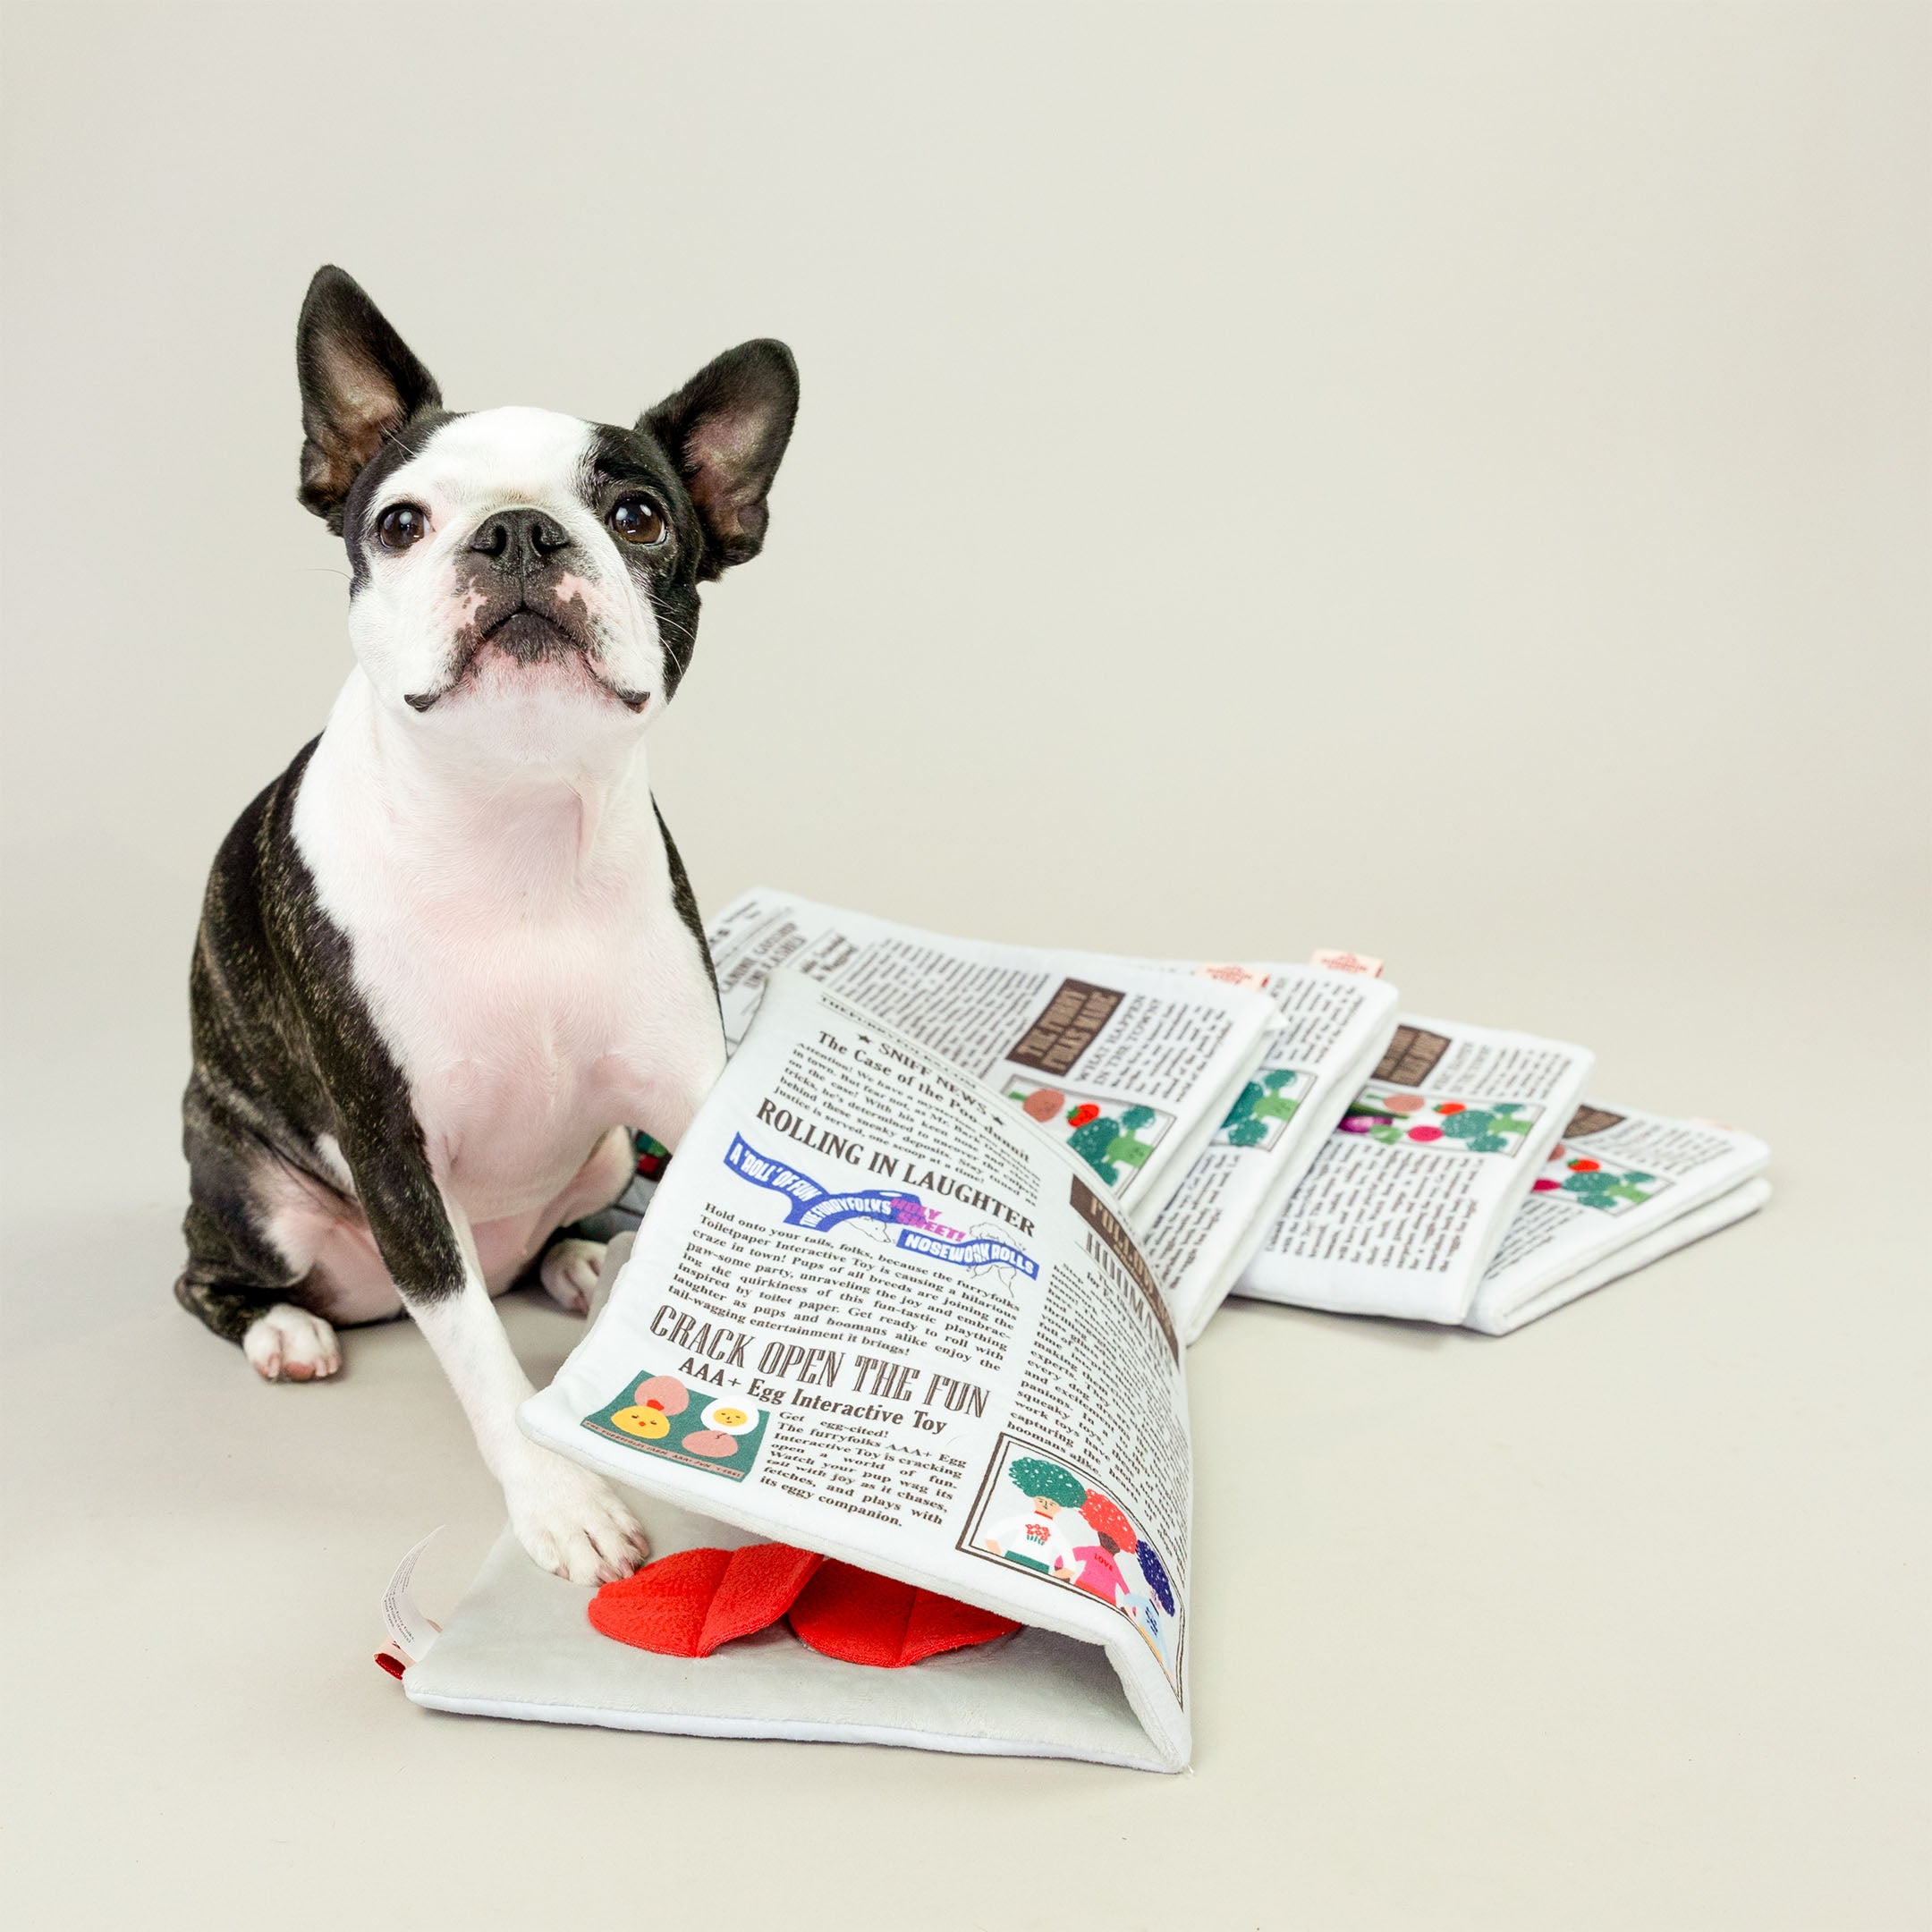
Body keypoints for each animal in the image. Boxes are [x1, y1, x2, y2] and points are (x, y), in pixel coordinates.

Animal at [174, 264, 792, 1576]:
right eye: (401, 522)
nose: (516, 530)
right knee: (210, 1278)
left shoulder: (688, 1088)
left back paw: (585, 1263)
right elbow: (484, 1365)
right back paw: (283, 1333)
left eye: (639, 515)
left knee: (556, 1240)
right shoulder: (396, 1153)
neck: (517, 817)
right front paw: (560, 1502)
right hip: (255, 1198)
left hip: (603, 1153)